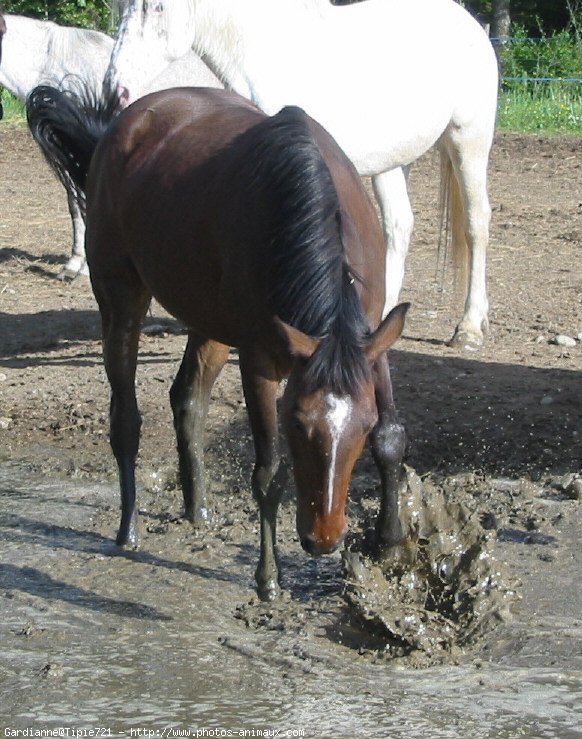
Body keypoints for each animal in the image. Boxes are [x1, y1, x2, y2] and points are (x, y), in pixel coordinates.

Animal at [27, 85, 408, 600]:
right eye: (297, 423)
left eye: (362, 427)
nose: (325, 539)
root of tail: (118, 127)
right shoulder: (259, 360)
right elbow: (269, 472)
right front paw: (268, 578)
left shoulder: (370, 339)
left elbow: (392, 438)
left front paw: (391, 540)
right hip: (120, 295)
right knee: (125, 417)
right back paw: (129, 529)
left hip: (207, 319)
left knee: (187, 399)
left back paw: (198, 508)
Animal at [102, 0, 500, 350]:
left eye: (156, 7)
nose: (114, 90)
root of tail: (471, 25)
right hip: (394, 163)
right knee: (399, 226)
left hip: (468, 140)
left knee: (476, 224)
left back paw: (469, 328)